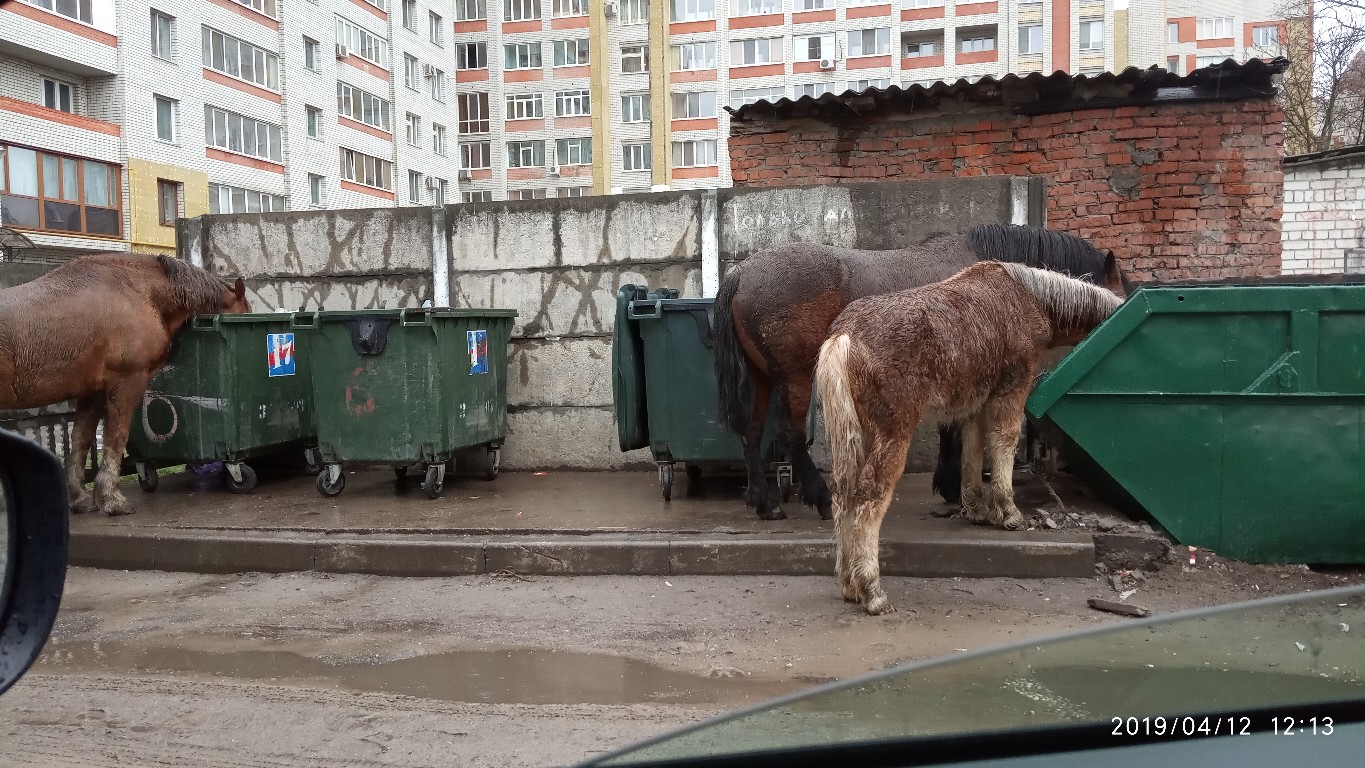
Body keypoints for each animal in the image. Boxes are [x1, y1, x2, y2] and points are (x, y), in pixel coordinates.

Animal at [0, 253, 251, 515]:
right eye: (245, 312)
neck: (139, 292)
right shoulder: (128, 381)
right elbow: (116, 436)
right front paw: (112, 499)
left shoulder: (93, 391)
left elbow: (81, 438)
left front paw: (80, 498)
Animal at [715, 222, 1130, 523]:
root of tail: (742, 273)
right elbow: (952, 432)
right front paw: (951, 487)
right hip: (796, 377)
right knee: (789, 433)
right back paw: (817, 497)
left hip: (763, 378)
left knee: (752, 432)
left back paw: (764, 501)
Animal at [819, 261, 1119, 616]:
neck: (1030, 297)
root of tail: (844, 337)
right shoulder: (1012, 388)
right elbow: (1004, 442)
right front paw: (1009, 513)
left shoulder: (976, 403)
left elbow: (972, 451)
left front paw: (977, 510)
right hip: (892, 431)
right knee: (868, 496)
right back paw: (872, 593)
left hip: (855, 434)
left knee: (842, 495)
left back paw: (849, 586)